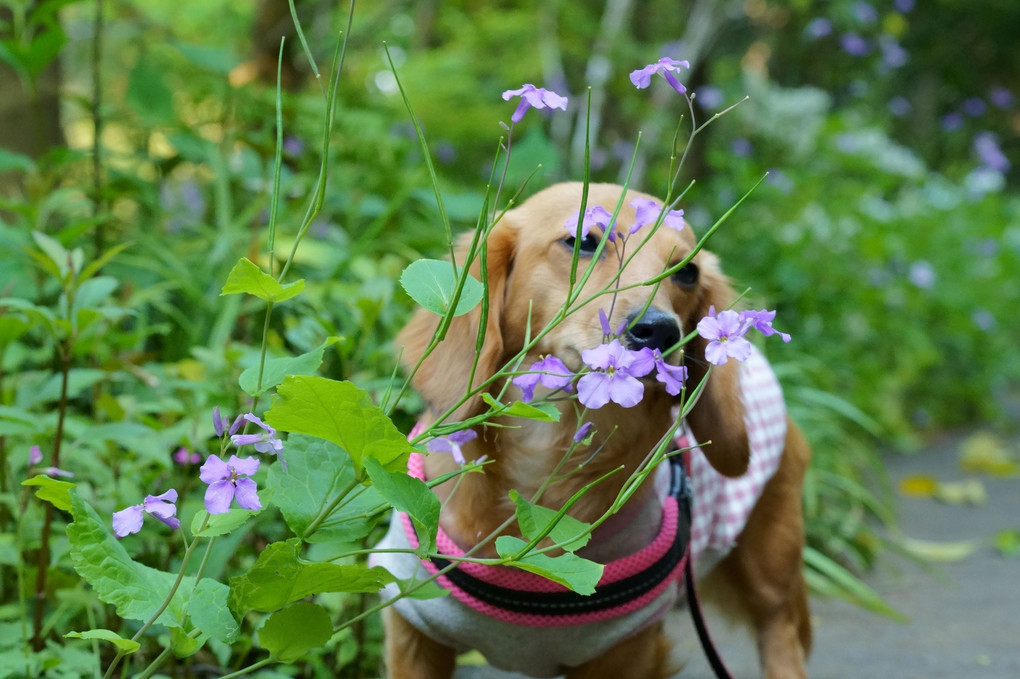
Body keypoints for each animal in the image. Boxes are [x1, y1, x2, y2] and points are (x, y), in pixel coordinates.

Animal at [375, 181, 811, 676]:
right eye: (584, 241)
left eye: (687, 272)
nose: (659, 331)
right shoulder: (415, 630)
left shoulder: (627, 648)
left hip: (770, 565)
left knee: (781, 635)